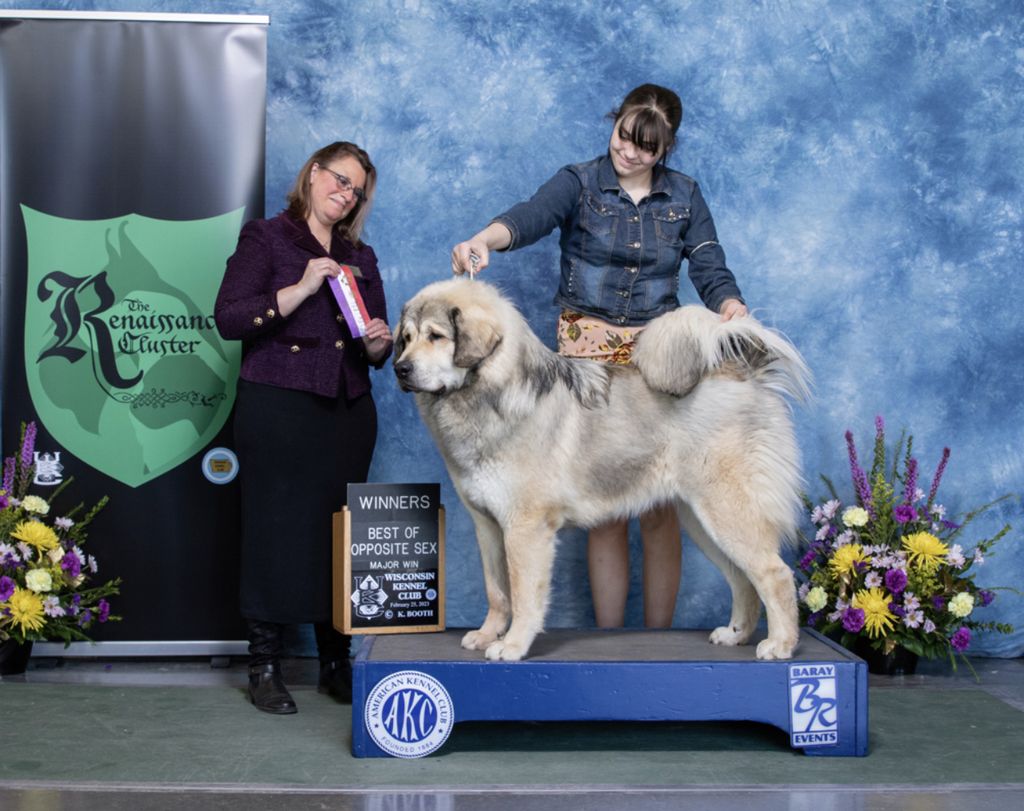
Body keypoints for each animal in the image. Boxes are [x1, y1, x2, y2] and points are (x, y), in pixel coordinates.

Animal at [391, 282, 806, 663]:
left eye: (436, 336)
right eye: (406, 339)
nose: (400, 368)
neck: (491, 395)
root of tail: (742, 371)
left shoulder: (526, 528)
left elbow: (523, 595)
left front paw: (511, 645)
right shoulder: (488, 526)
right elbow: (497, 592)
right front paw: (486, 635)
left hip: (728, 513)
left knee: (775, 574)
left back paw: (781, 644)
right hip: (702, 522)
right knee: (743, 579)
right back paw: (736, 634)